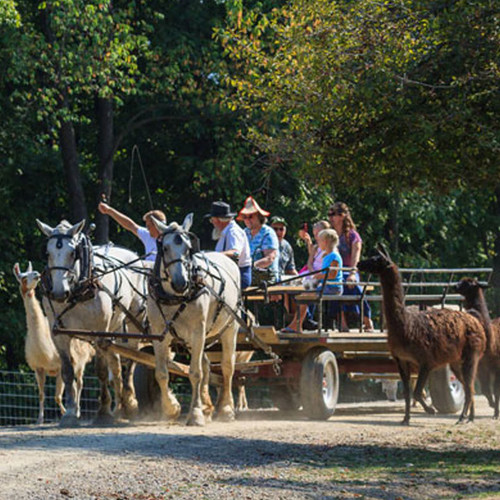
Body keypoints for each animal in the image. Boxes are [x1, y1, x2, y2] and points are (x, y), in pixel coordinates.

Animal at [37, 219, 148, 426]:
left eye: (73, 253)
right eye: (47, 253)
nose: (59, 293)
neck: (77, 292)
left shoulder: (99, 333)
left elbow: (101, 371)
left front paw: (103, 411)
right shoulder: (59, 335)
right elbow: (67, 372)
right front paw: (70, 412)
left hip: (132, 323)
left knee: (131, 362)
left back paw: (129, 403)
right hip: (114, 329)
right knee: (117, 368)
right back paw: (119, 408)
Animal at [146, 212, 240, 426]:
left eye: (188, 249)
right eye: (165, 248)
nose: (181, 282)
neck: (175, 297)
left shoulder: (198, 332)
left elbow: (195, 373)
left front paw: (195, 414)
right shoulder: (159, 334)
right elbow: (161, 373)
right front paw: (171, 408)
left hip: (230, 328)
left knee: (227, 367)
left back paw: (226, 409)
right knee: (206, 365)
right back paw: (208, 407)